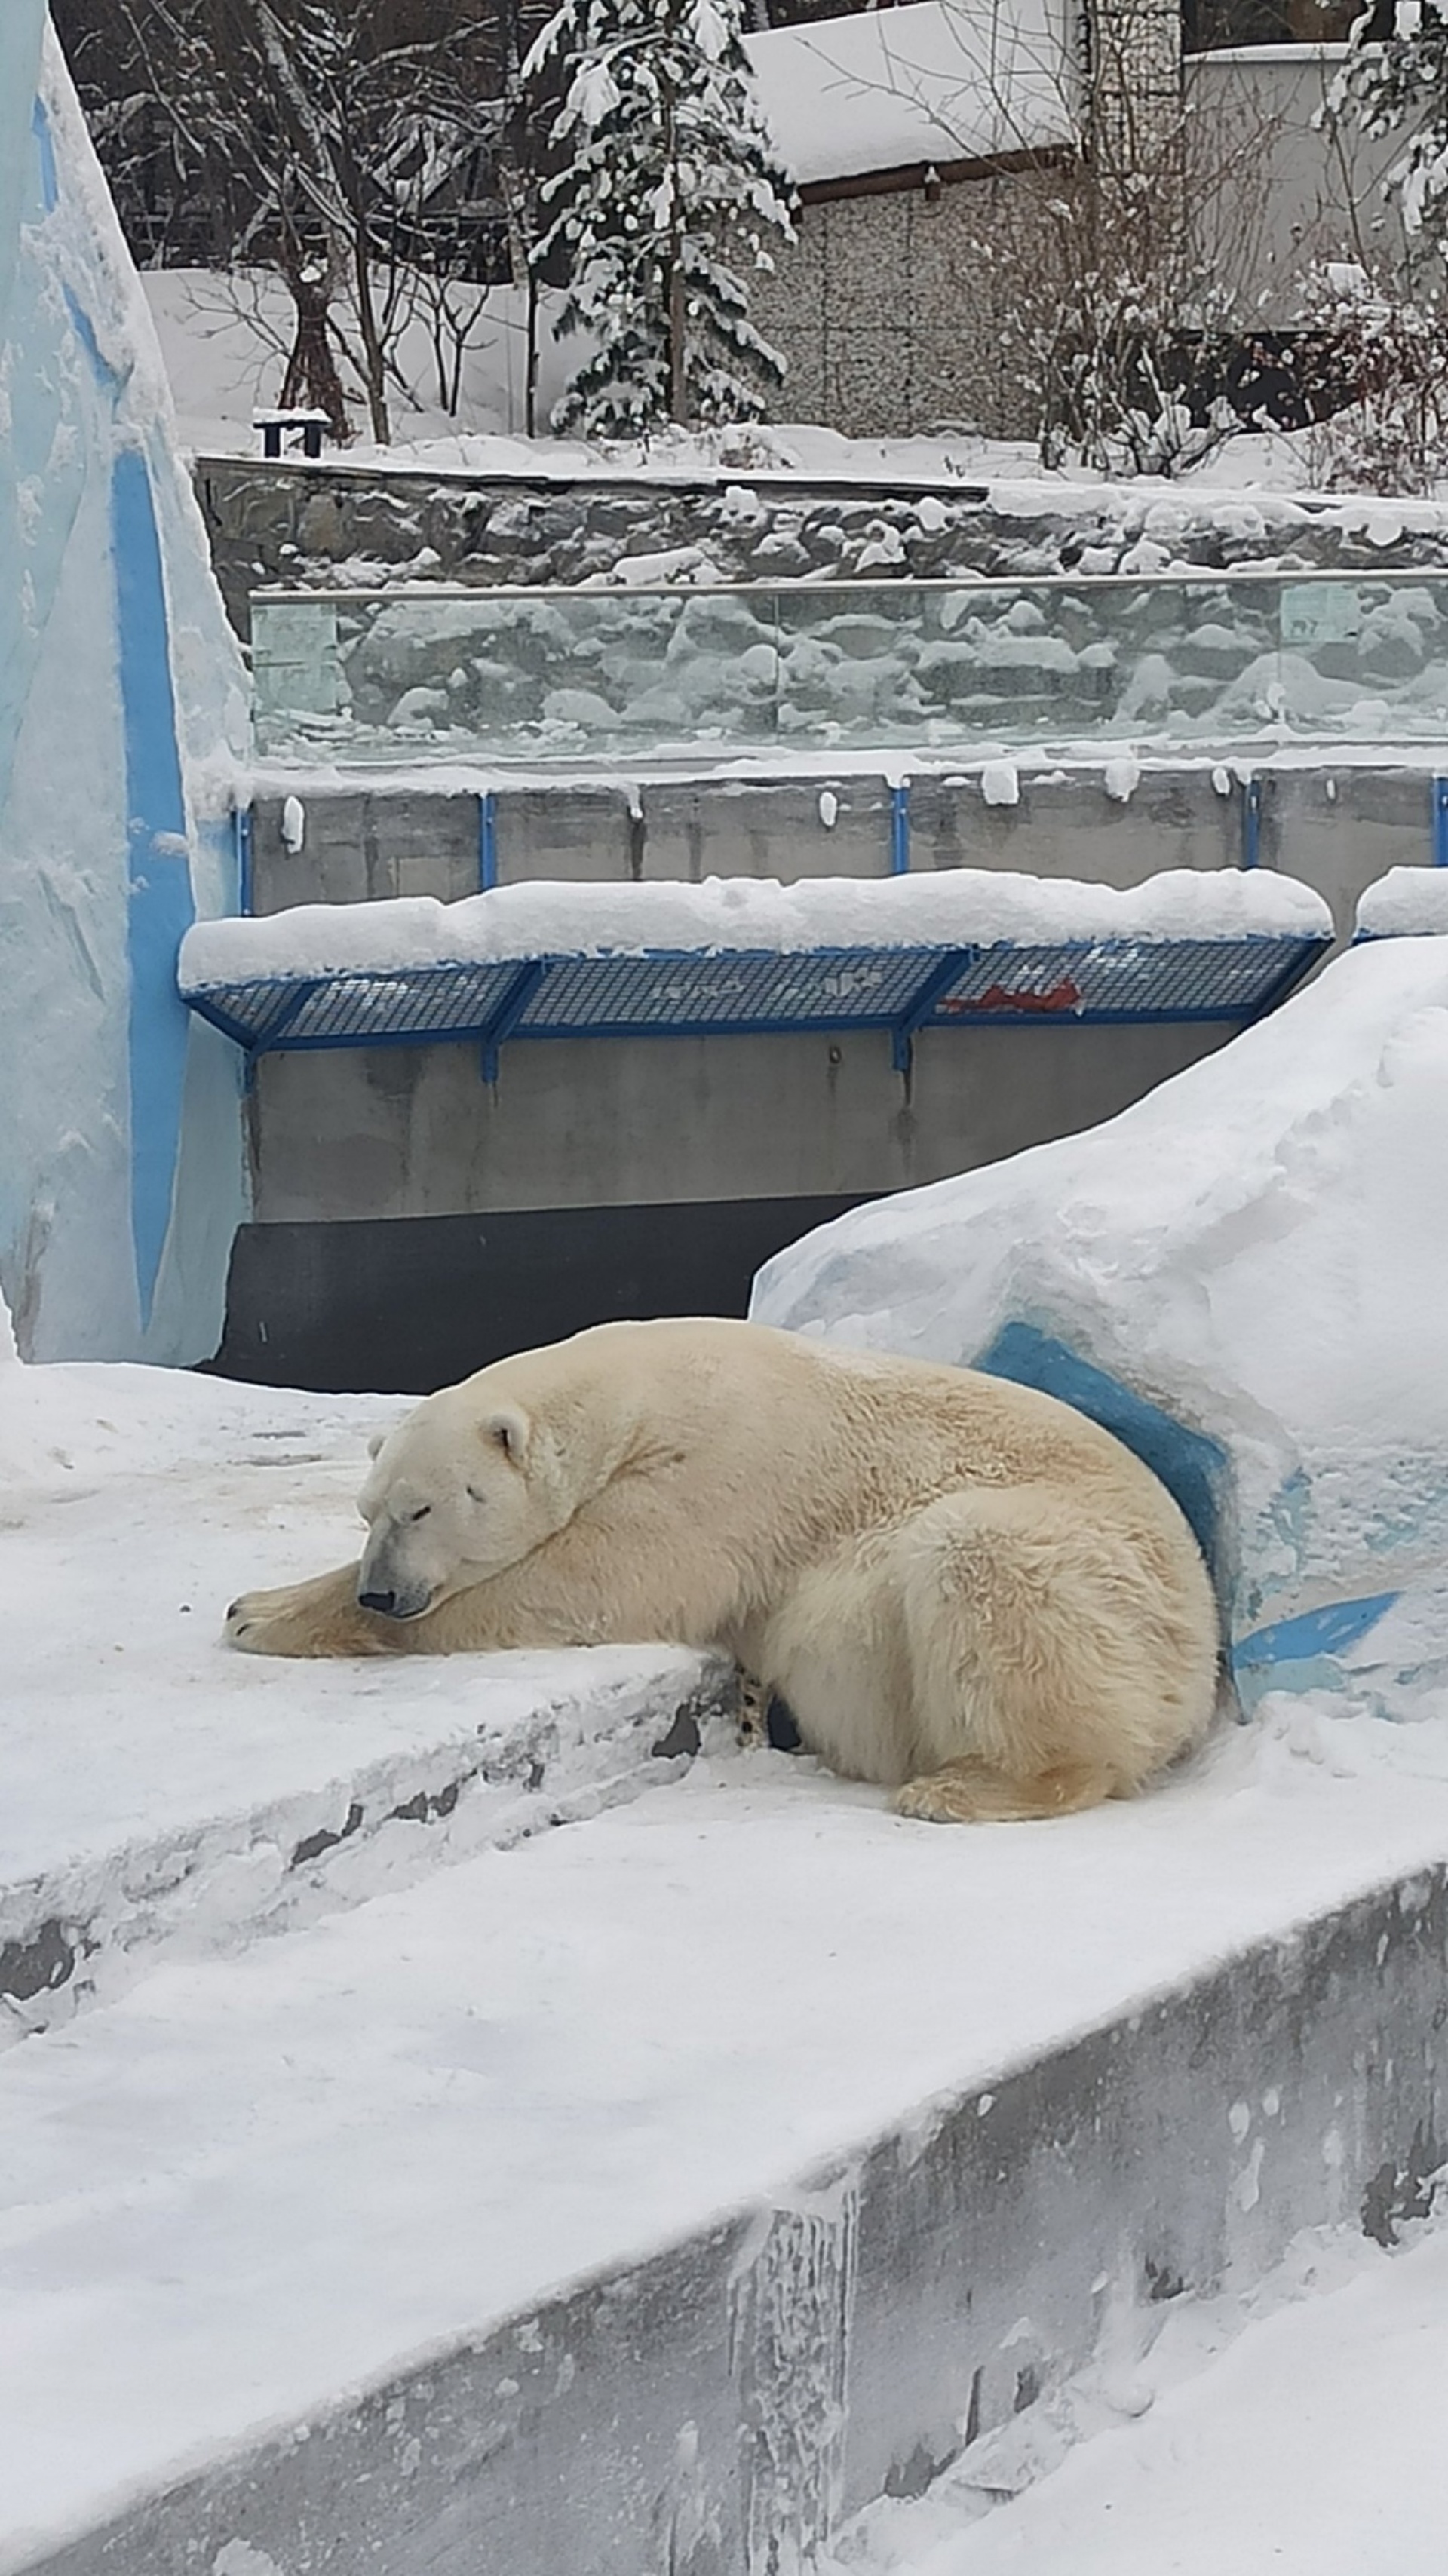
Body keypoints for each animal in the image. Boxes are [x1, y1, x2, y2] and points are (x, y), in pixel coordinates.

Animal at [228, 1318, 1216, 1823]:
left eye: (423, 1508)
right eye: (369, 1511)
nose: (383, 1588)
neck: (636, 1387)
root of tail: (1204, 1659)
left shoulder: (722, 1471)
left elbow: (598, 1577)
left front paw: (261, 1611)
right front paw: (263, 1600)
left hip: (1108, 1583)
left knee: (984, 1564)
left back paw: (963, 1786)